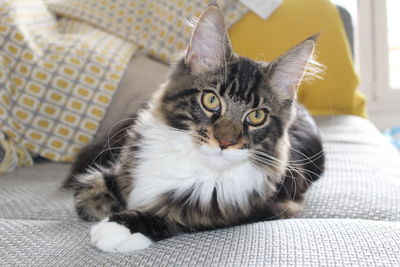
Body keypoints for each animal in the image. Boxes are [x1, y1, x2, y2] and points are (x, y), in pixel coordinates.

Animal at [64, 4, 324, 255]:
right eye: (211, 100)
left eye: (257, 116)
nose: (225, 142)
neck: (194, 164)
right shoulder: (126, 167)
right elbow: (87, 191)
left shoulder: (268, 206)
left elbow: (185, 216)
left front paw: (122, 226)